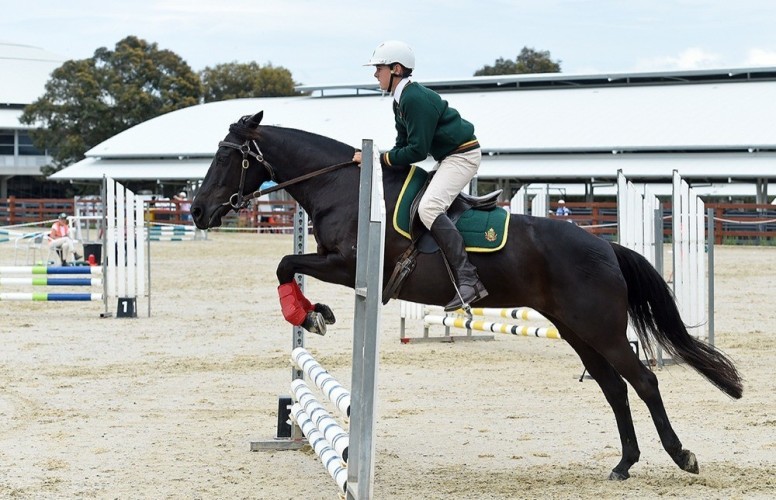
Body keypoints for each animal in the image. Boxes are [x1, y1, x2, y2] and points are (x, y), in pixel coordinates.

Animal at [191, 112, 744, 480]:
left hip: (601, 329)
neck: (344, 186)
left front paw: (310, 315)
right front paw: (313, 313)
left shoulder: (349, 266)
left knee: (644, 381)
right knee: (613, 387)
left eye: (225, 156)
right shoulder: (336, 263)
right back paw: (624, 463)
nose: (197, 212)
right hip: (577, 331)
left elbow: (286, 264)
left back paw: (682, 456)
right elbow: (287, 265)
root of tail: (605, 245)